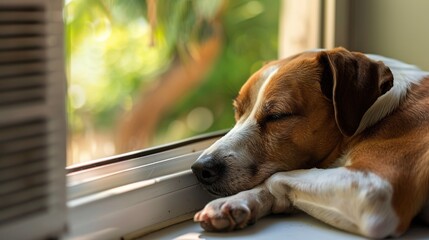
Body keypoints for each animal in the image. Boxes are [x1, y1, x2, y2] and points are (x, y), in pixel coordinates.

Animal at [191, 47, 428, 238]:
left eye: (277, 116)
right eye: (237, 111)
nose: (200, 169)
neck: (377, 114)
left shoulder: (374, 188)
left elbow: (278, 177)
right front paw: (234, 202)